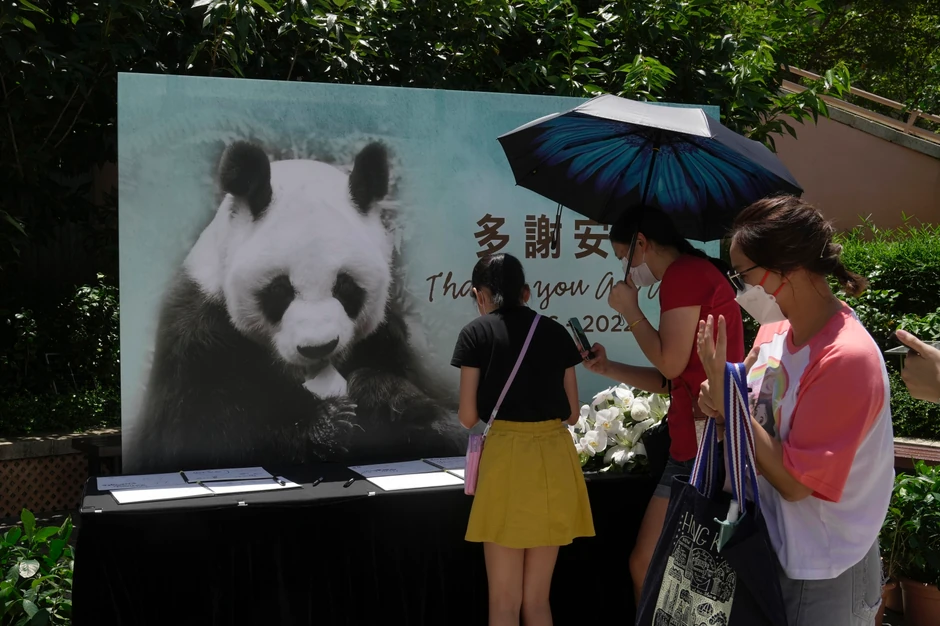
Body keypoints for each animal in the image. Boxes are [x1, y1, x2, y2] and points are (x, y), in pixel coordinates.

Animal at [125, 140, 464, 474]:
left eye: (345, 287)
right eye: (280, 290)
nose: (318, 347)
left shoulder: (395, 341)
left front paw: (377, 392)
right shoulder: (195, 339)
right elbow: (198, 429)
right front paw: (328, 423)